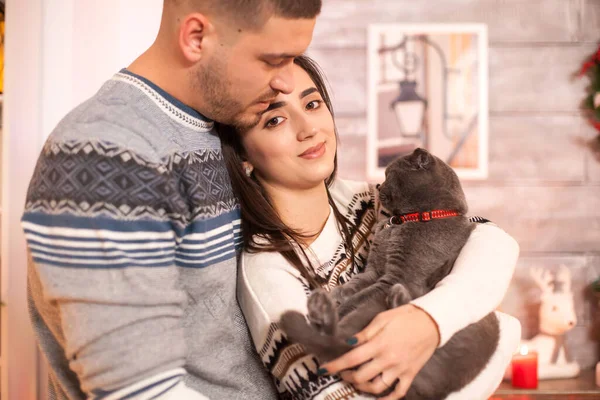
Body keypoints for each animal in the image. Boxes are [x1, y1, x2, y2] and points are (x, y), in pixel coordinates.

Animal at [282, 148, 496, 400]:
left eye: (388, 174)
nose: (378, 184)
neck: (404, 222)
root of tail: (427, 391)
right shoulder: (374, 270)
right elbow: (355, 285)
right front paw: (338, 292)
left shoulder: (398, 277)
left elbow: (360, 295)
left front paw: (342, 304)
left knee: (341, 340)